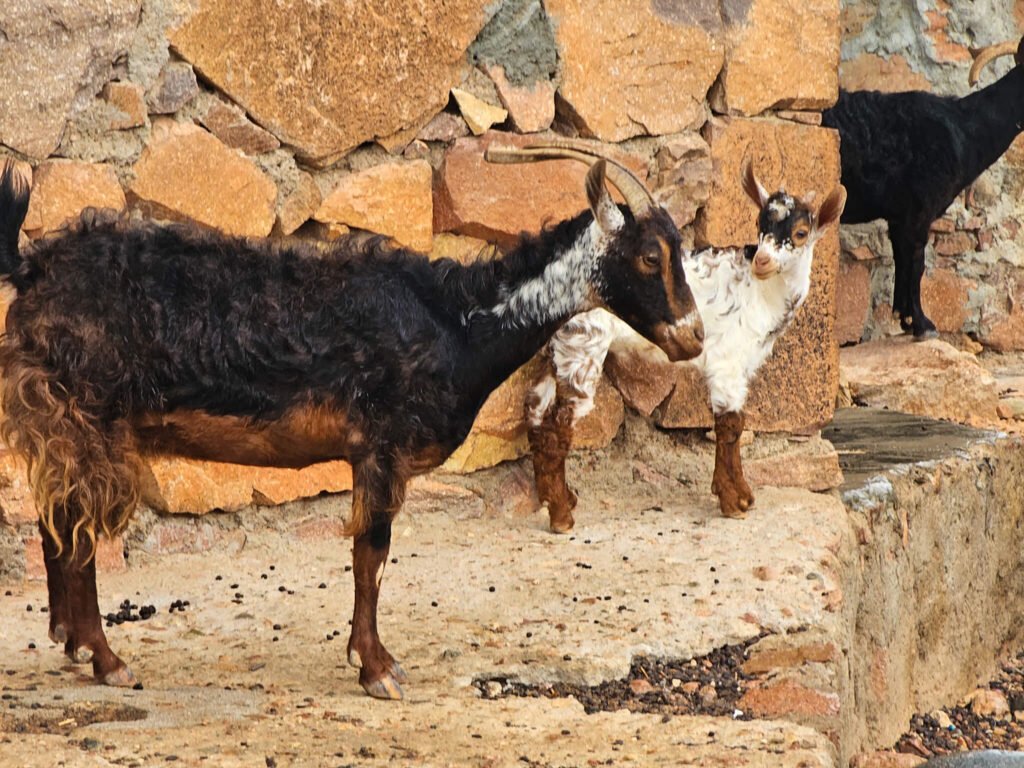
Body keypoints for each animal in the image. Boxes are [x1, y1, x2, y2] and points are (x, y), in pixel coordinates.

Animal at [0, 141, 704, 700]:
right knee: (79, 530)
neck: (455, 320)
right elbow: (373, 554)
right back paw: (106, 658)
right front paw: (378, 670)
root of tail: (34, 268)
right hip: (85, 415)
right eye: (648, 257)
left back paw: (69, 641)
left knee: (55, 518)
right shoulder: (381, 447)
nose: (693, 339)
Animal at [526, 161, 845, 527]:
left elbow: (736, 423)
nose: (761, 261)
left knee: (535, 414)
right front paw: (733, 502)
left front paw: (742, 495)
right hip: (584, 346)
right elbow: (730, 425)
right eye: (759, 224)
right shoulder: (727, 363)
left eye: (801, 233)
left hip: (556, 350)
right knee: (560, 424)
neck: (762, 295)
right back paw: (561, 516)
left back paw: (558, 498)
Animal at [820, 38, 1024, 339]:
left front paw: (904, 319)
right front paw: (922, 324)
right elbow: (917, 263)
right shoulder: (919, 211)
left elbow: (903, 260)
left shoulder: (899, 217)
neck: (964, 132)